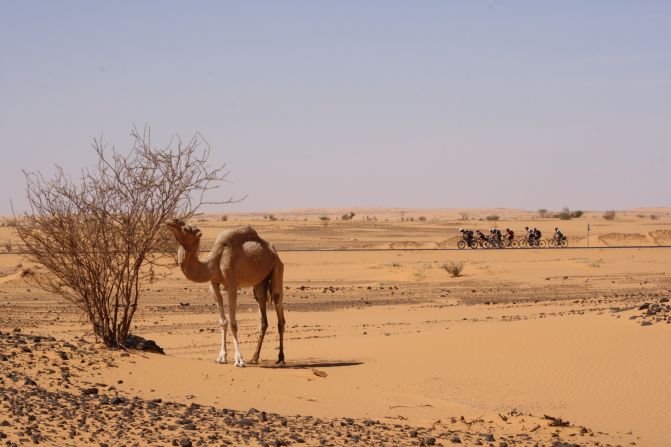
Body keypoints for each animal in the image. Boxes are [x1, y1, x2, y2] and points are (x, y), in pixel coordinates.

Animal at [167, 219, 286, 370]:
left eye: (187, 229)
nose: (171, 221)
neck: (213, 262)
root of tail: (273, 251)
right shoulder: (213, 285)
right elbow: (223, 321)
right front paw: (221, 357)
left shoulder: (231, 286)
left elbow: (233, 323)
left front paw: (239, 360)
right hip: (260, 282)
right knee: (262, 315)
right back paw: (254, 358)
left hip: (277, 268)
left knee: (278, 307)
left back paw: (281, 358)